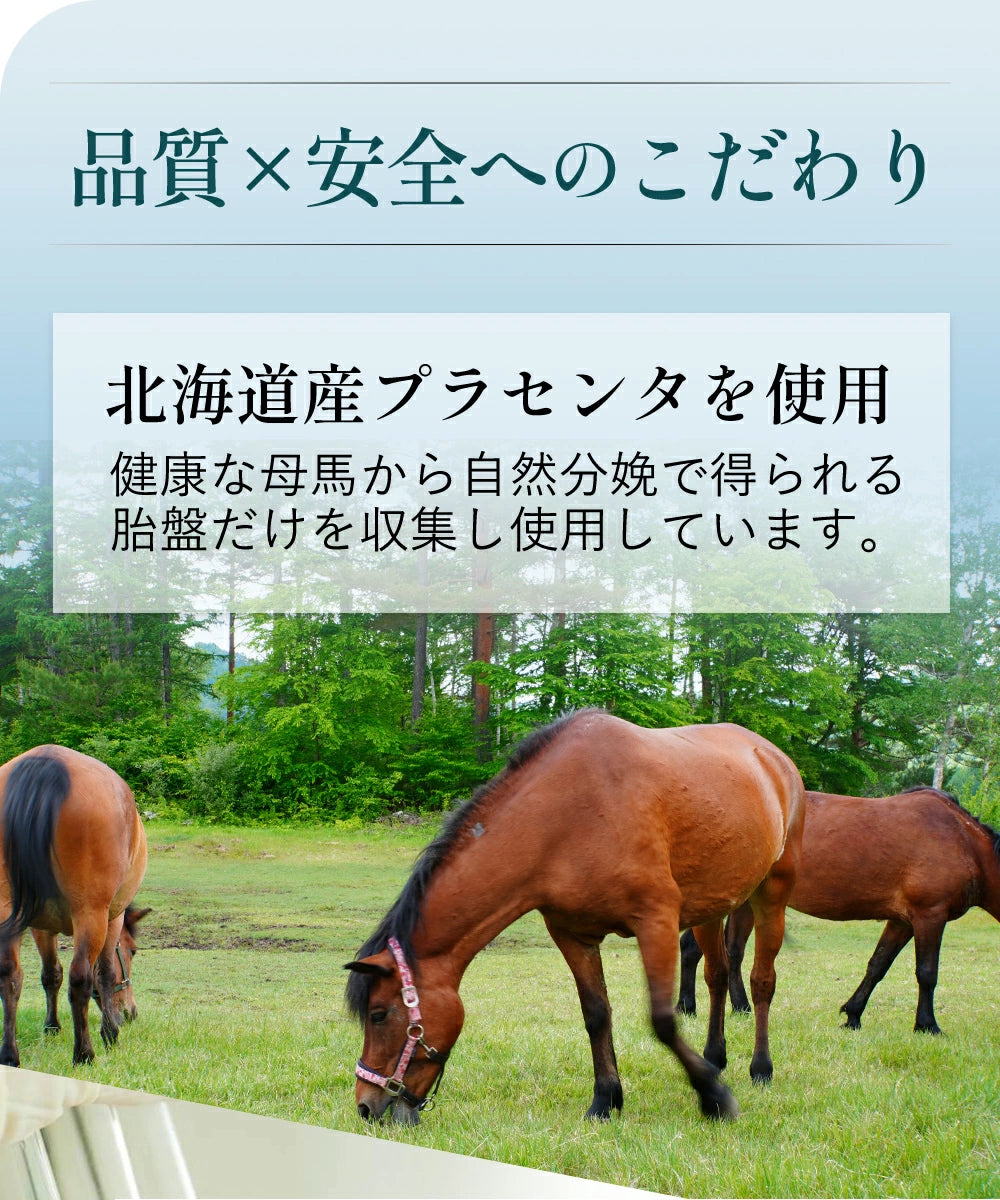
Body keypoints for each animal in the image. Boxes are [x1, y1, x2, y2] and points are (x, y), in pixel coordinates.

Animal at [0, 745, 148, 1066]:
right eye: (132, 951)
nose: (131, 1013)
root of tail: (45, 765)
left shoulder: (40, 926)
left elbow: (50, 975)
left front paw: (51, 1027)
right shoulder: (112, 917)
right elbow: (104, 974)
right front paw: (110, 1033)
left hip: (6, 914)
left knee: (9, 977)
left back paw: (10, 1054)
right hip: (90, 913)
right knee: (80, 977)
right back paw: (84, 1053)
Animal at [345, 710, 805, 1125]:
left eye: (379, 1015)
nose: (366, 1107)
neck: (570, 814)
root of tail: (773, 757)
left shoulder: (655, 922)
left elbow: (662, 1019)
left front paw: (713, 1098)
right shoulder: (572, 934)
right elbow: (596, 1014)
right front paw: (606, 1100)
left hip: (771, 895)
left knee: (762, 982)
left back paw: (760, 1067)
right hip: (712, 907)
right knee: (716, 975)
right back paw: (714, 1058)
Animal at [677, 787, 1000, 1034]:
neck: (962, 841)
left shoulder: (902, 922)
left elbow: (877, 966)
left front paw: (852, 1015)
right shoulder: (929, 915)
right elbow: (927, 973)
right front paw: (927, 1025)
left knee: (718, 951)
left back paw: (712, 1006)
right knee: (707, 950)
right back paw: (701, 1006)